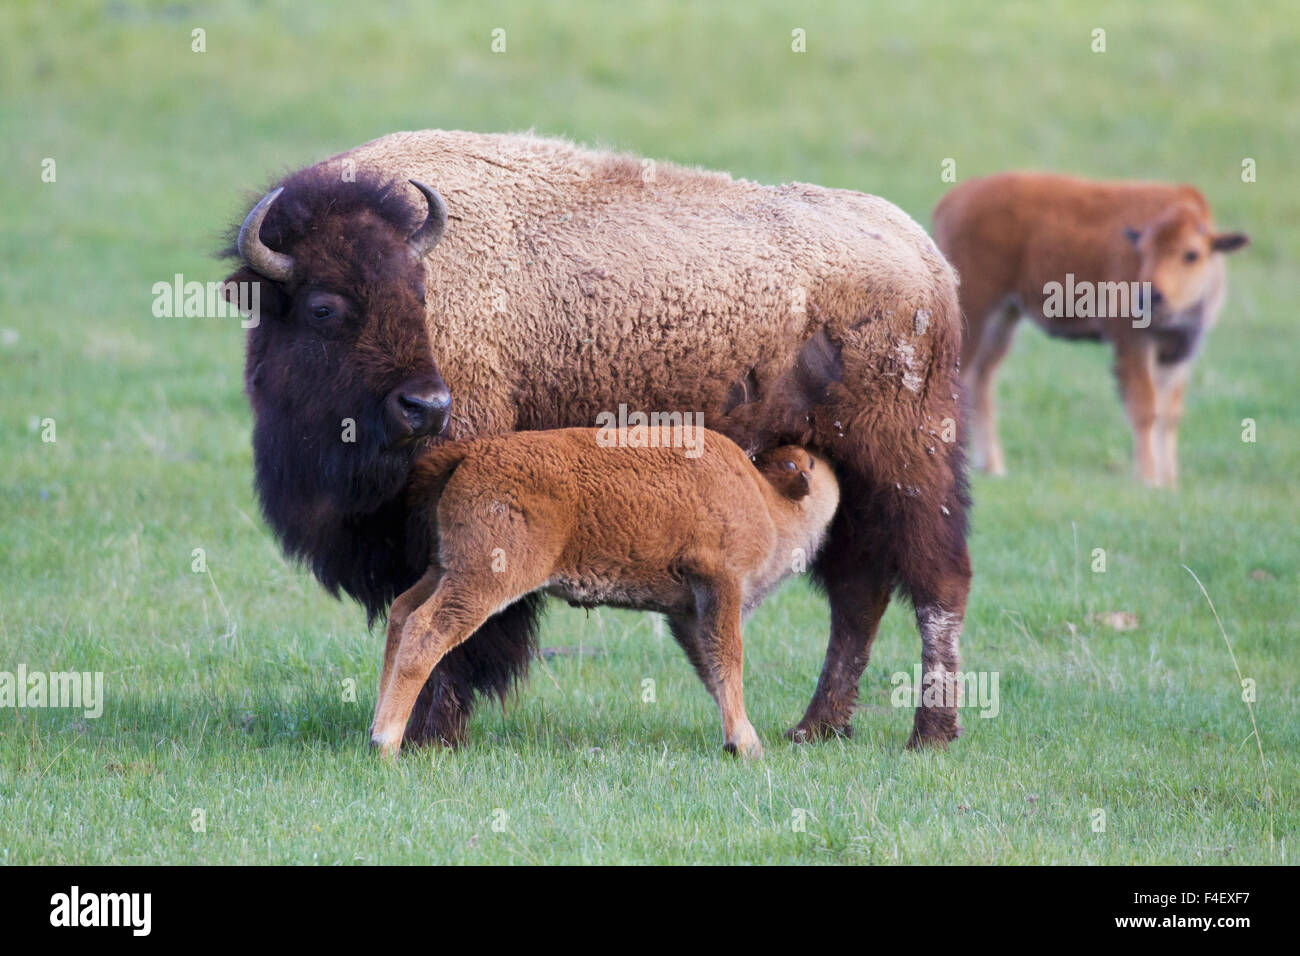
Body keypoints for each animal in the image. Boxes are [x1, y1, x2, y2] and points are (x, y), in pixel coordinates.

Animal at [371, 429, 837, 759]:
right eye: (812, 462)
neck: (765, 497)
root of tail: (471, 453)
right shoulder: (719, 585)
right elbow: (729, 660)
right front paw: (747, 743)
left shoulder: (688, 613)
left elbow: (710, 669)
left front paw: (736, 738)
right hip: (482, 580)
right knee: (425, 630)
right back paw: (387, 744)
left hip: (444, 569)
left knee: (401, 613)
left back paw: (376, 728)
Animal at [935, 171, 1248, 486]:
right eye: (1143, 251)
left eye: (1191, 254)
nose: (1149, 296)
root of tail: (952, 200)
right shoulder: (1132, 341)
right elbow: (1145, 408)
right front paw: (1148, 479)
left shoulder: (1178, 351)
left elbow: (1169, 414)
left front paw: (1169, 483)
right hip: (976, 314)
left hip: (1003, 320)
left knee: (982, 381)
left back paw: (994, 467)